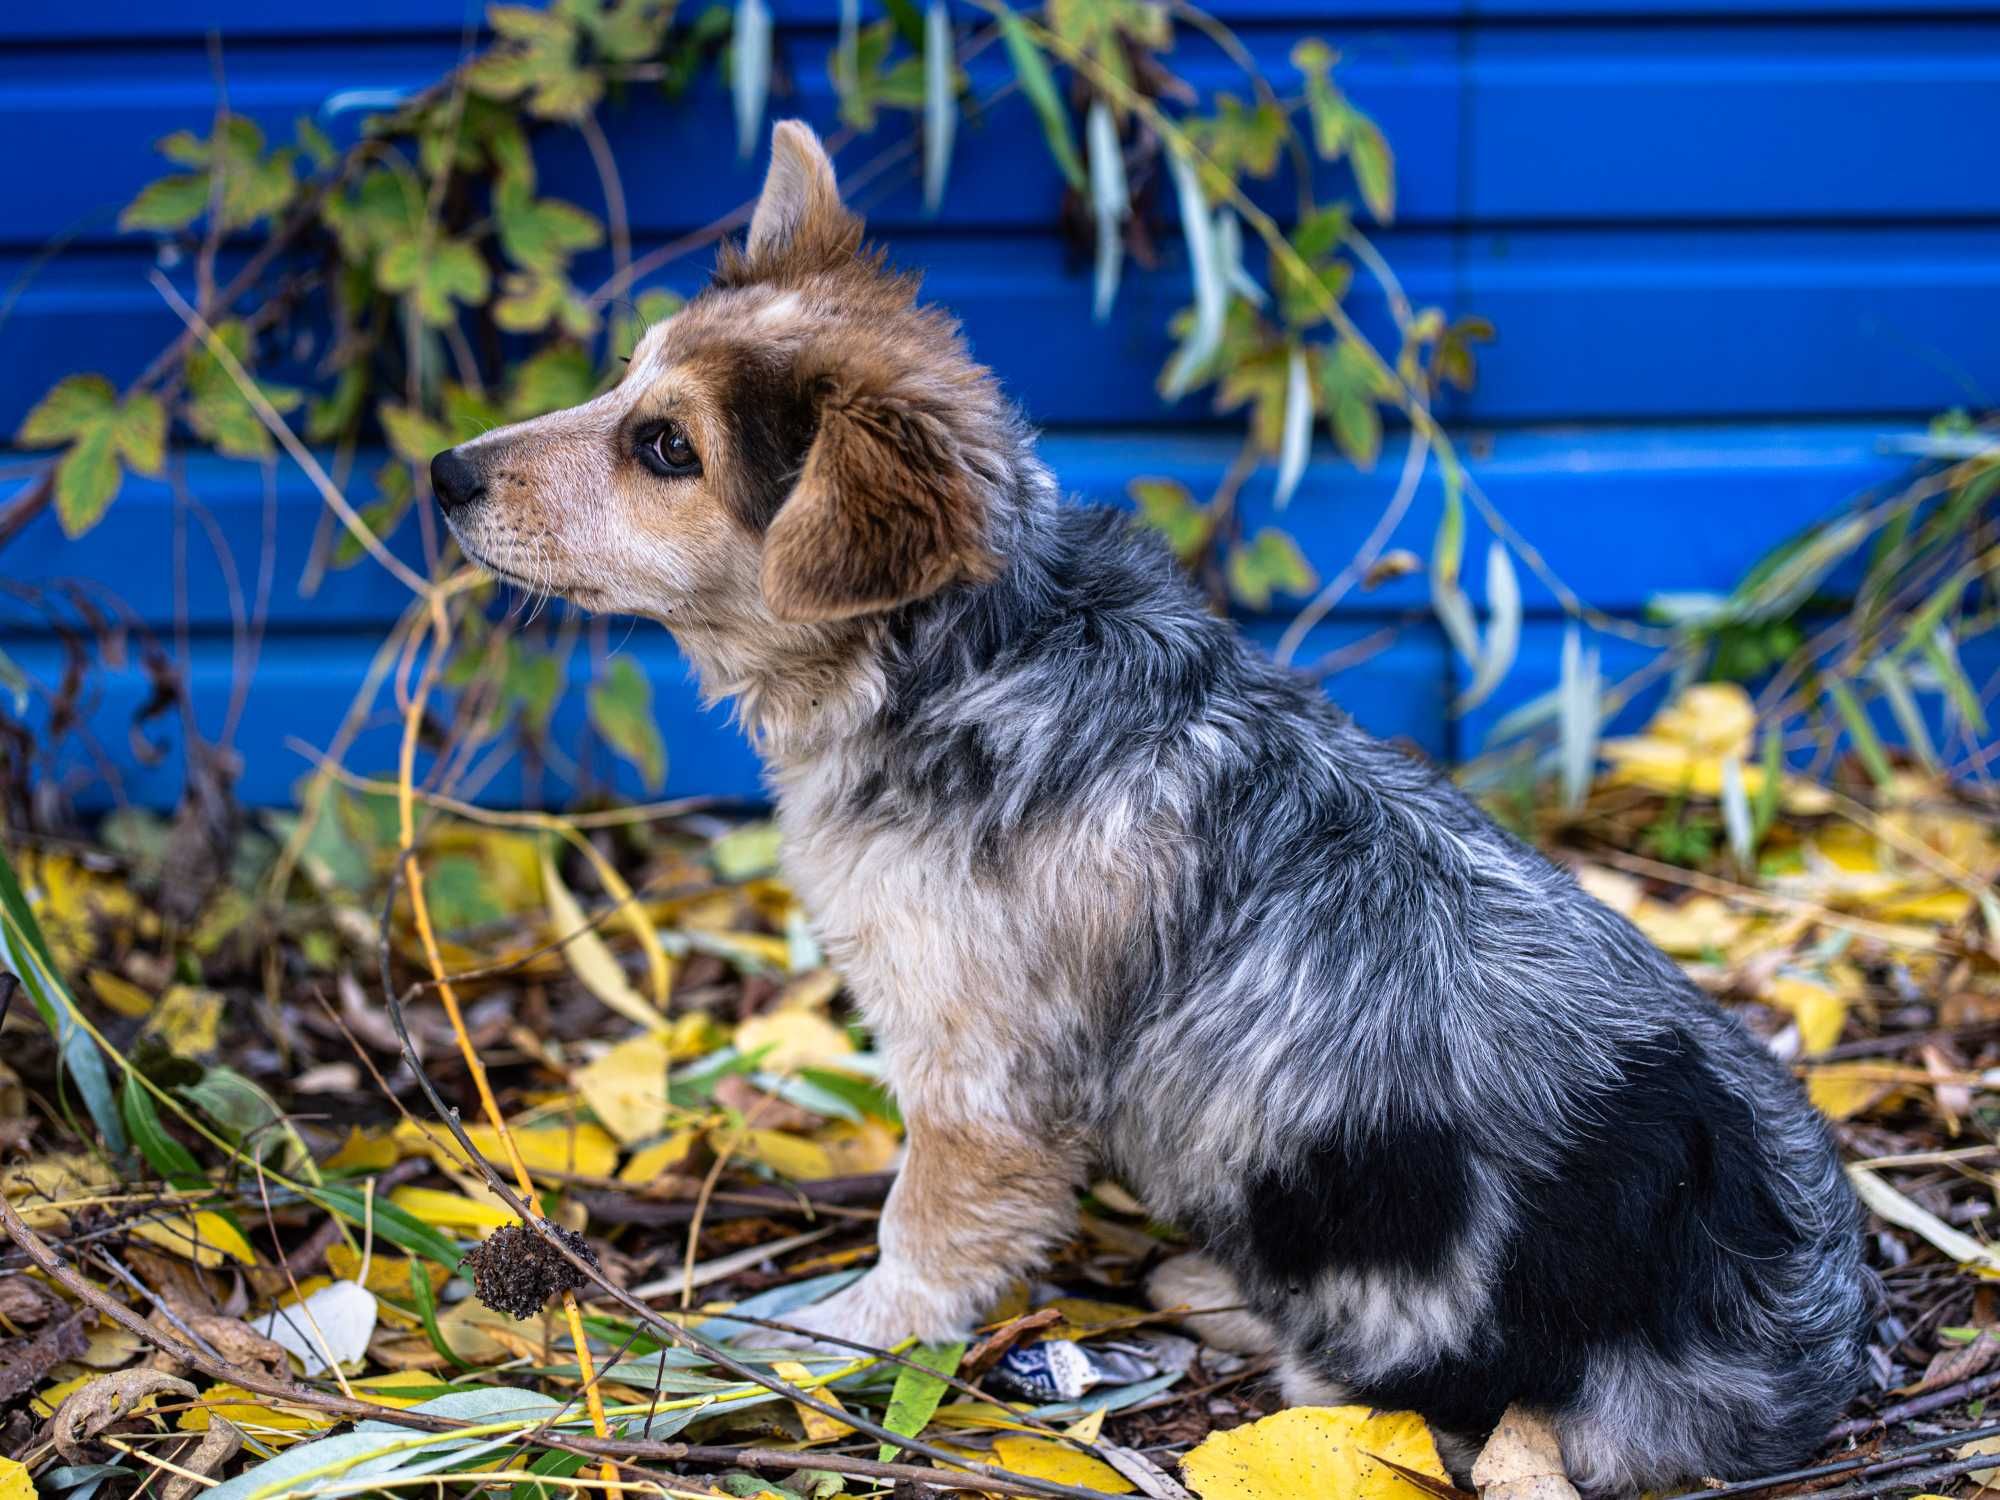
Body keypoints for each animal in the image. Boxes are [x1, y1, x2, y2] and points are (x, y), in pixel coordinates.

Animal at [434, 120, 1872, 1496]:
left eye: (664, 447)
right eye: (624, 380)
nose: (445, 470)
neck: (971, 653)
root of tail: (1805, 1357)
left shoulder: (980, 1082)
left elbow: (923, 1237)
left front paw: (832, 1338)